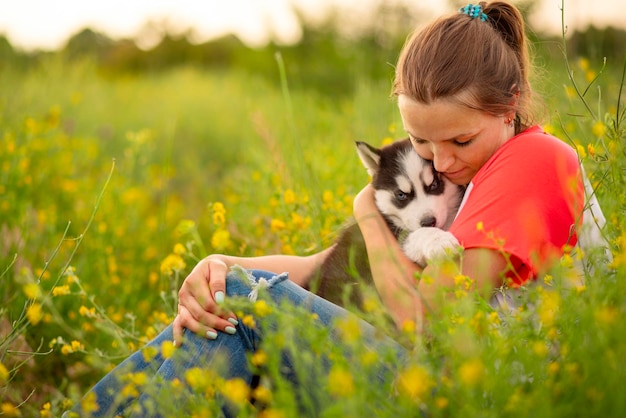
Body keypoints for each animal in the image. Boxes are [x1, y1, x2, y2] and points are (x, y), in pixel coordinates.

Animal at [308, 139, 464, 308]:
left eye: (434, 184)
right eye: (401, 195)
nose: (428, 221)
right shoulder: (395, 232)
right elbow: (416, 235)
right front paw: (439, 240)